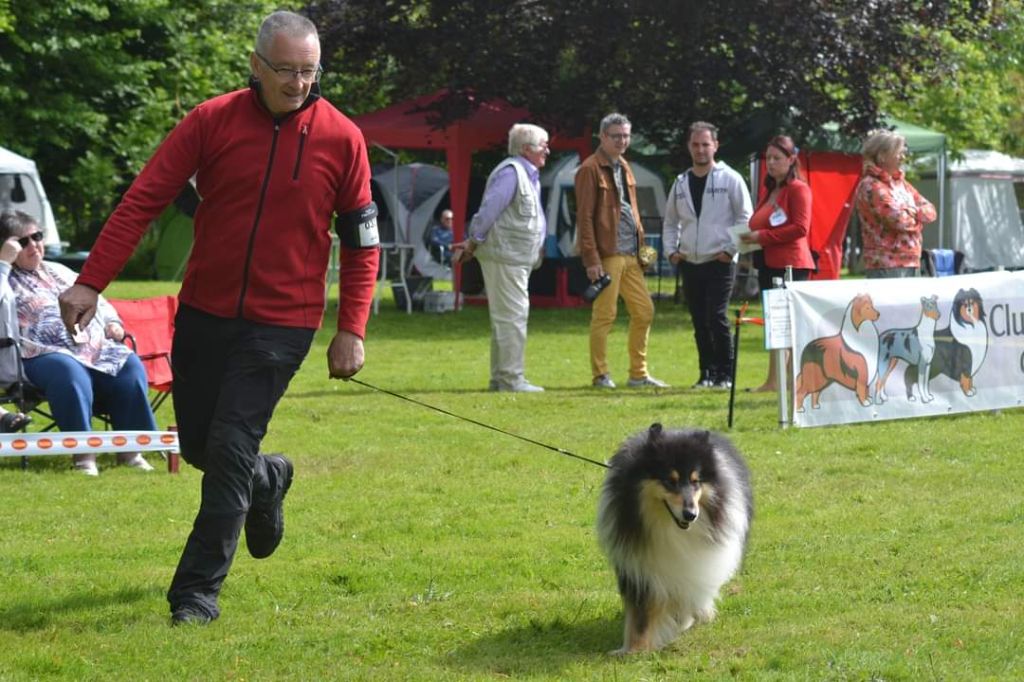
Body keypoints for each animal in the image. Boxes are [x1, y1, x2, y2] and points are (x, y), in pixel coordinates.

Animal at [598, 425, 757, 655]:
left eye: (695, 481)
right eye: (669, 481)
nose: (690, 514)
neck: (672, 530)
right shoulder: (639, 567)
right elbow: (640, 614)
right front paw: (634, 649)